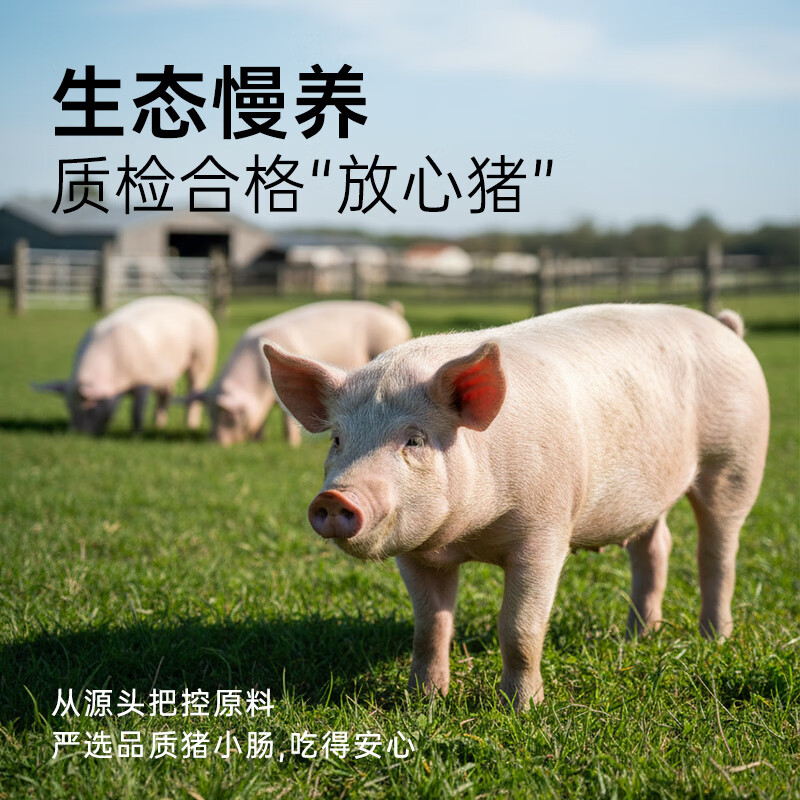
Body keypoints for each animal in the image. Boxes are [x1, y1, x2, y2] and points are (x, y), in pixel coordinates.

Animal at [34, 296, 218, 436]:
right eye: (68, 407)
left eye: (90, 407)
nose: (76, 435)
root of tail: (198, 307)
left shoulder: (143, 381)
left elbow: (137, 410)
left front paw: (137, 434)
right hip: (167, 372)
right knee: (166, 393)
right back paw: (158, 425)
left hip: (203, 356)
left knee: (194, 387)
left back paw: (191, 426)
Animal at [199, 301, 411, 446]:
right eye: (210, 416)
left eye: (229, 417)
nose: (216, 443)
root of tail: (393, 314)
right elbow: (262, 418)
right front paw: (259, 440)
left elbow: (288, 420)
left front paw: (291, 445)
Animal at [261, 303, 769, 710]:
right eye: (337, 439)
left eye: (414, 440)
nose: (334, 497)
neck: (467, 536)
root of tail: (725, 328)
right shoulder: (418, 553)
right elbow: (429, 628)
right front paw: (424, 701)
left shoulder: (545, 533)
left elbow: (519, 628)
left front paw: (521, 709)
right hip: (649, 492)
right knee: (655, 546)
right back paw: (638, 636)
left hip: (736, 459)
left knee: (717, 548)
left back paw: (714, 637)